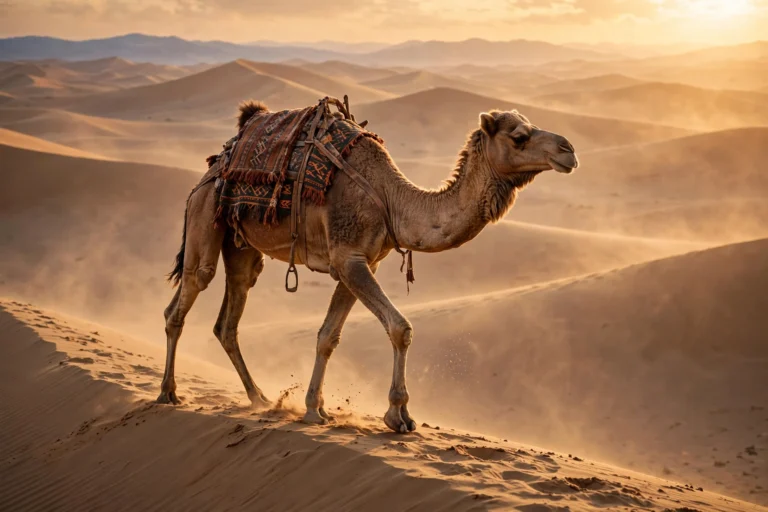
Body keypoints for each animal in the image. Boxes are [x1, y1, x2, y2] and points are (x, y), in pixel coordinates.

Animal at [158, 103, 579, 433]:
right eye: (519, 136)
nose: (569, 149)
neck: (393, 200)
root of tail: (212, 168)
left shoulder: (361, 262)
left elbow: (328, 336)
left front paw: (314, 409)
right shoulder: (349, 257)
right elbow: (400, 328)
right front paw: (399, 415)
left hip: (241, 243)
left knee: (229, 317)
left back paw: (259, 397)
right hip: (204, 215)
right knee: (184, 299)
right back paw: (168, 392)